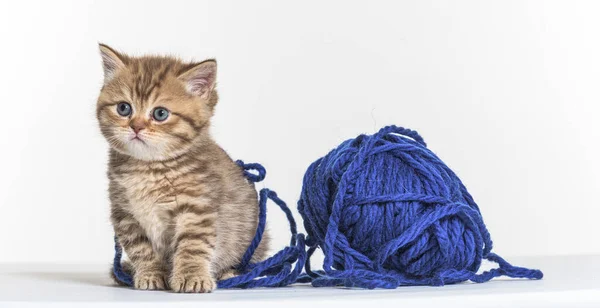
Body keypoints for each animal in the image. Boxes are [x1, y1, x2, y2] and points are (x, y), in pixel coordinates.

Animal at [96, 44, 270, 292]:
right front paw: (150, 273)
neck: (149, 169)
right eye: (123, 108)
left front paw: (191, 276)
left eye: (160, 113)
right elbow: (141, 248)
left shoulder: (196, 209)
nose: (136, 127)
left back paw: (229, 273)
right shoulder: (125, 213)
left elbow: (192, 246)